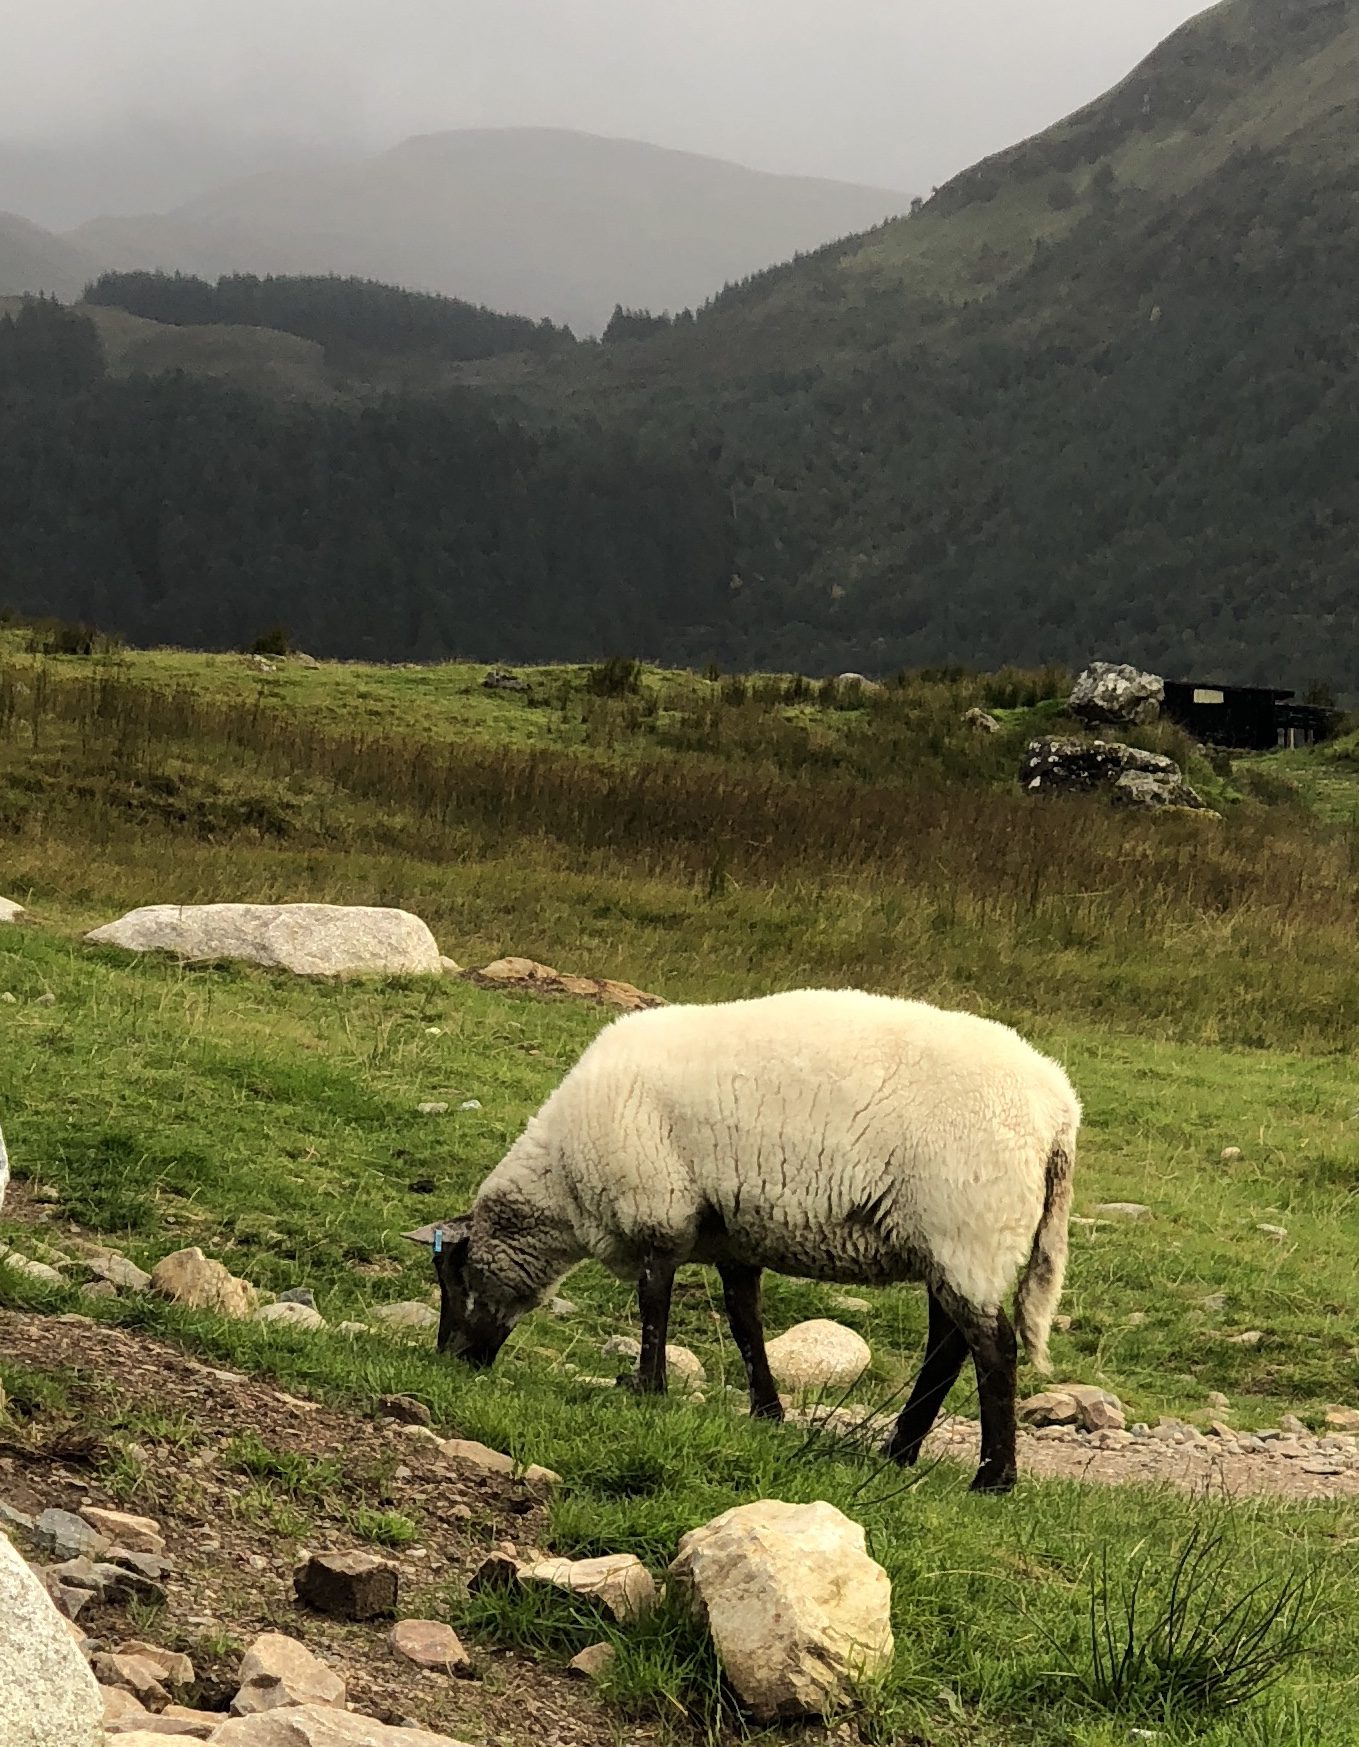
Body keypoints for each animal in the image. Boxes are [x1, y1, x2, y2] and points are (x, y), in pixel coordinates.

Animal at [407, 992, 1076, 1495]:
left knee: (993, 1348)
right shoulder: (733, 1235)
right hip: (949, 1241)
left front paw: (647, 1388)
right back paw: (900, 1452)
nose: (453, 1358)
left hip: (967, 1227)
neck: (563, 1182)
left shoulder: (658, 1206)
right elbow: (744, 1320)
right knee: (948, 1344)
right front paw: (766, 1412)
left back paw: (993, 1479)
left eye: (455, 1276)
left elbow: (654, 1301)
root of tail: (1059, 1111)